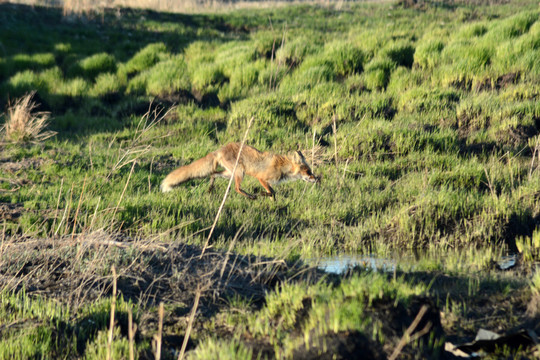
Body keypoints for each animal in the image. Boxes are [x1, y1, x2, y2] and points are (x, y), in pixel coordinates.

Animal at [162, 143, 318, 200]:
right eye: (308, 172)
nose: (316, 178)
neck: (282, 167)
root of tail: (219, 149)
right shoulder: (261, 178)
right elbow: (272, 191)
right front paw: (263, 194)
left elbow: (273, 192)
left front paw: (270, 199)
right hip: (239, 172)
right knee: (237, 188)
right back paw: (251, 196)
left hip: (230, 173)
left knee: (213, 174)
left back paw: (210, 189)